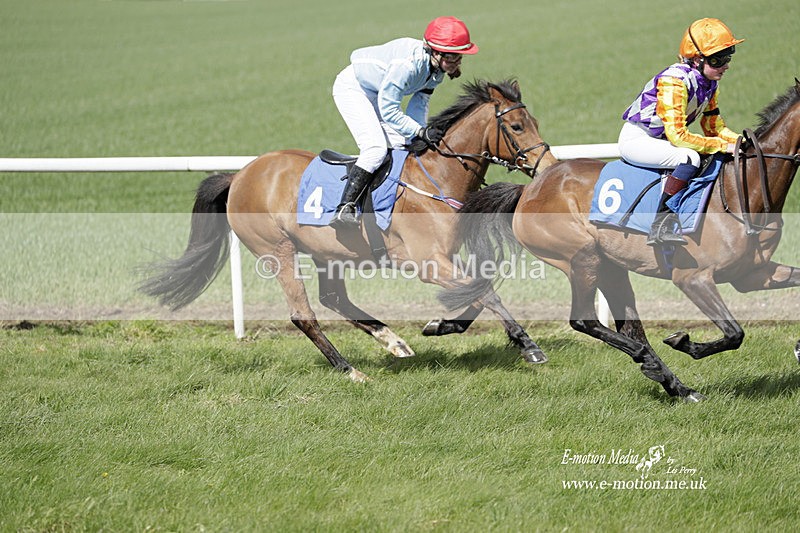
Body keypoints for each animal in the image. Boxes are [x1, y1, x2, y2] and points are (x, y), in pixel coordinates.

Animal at [140, 79, 557, 382]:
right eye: (516, 126)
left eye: (535, 123)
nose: (548, 166)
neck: (436, 178)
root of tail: (239, 175)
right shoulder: (424, 262)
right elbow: (485, 292)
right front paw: (527, 345)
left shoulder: (444, 259)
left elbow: (478, 293)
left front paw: (441, 325)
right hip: (276, 249)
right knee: (303, 314)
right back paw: (349, 369)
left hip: (327, 253)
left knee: (334, 299)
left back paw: (393, 341)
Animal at [442, 79, 800, 401]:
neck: (742, 190)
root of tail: (529, 189)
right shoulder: (693, 278)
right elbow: (734, 333)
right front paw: (684, 342)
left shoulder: (753, 274)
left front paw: (798, 347)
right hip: (582, 257)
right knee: (585, 320)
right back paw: (647, 361)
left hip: (611, 266)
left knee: (630, 326)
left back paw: (676, 385)